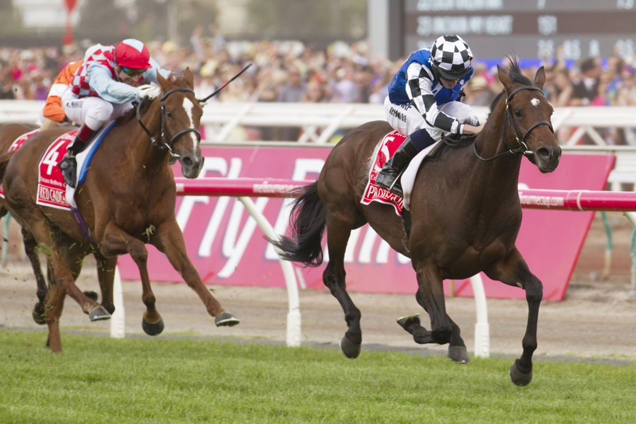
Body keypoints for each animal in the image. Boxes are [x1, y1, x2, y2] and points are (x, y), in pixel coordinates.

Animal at [0, 69, 238, 352]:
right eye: (169, 112)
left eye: (199, 112)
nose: (194, 161)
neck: (138, 166)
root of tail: (16, 152)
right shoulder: (104, 234)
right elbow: (140, 251)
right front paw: (152, 318)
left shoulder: (165, 226)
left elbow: (187, 268)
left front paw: (220, 311)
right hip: (36, 220)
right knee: (60, 273)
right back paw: (91, 306)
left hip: (70, 239)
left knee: (57, 294)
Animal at [274, 60, 560, 388]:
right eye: (520, 112)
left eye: (550, 110)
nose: (550, 154)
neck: (475, 190)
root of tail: (346, 139)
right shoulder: (427, 263)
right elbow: (439, 327)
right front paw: (414, 325)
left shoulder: (497, 261)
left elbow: (535, 289)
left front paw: (522, 367)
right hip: (340, 216)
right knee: (334, 275)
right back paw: (353, 336)